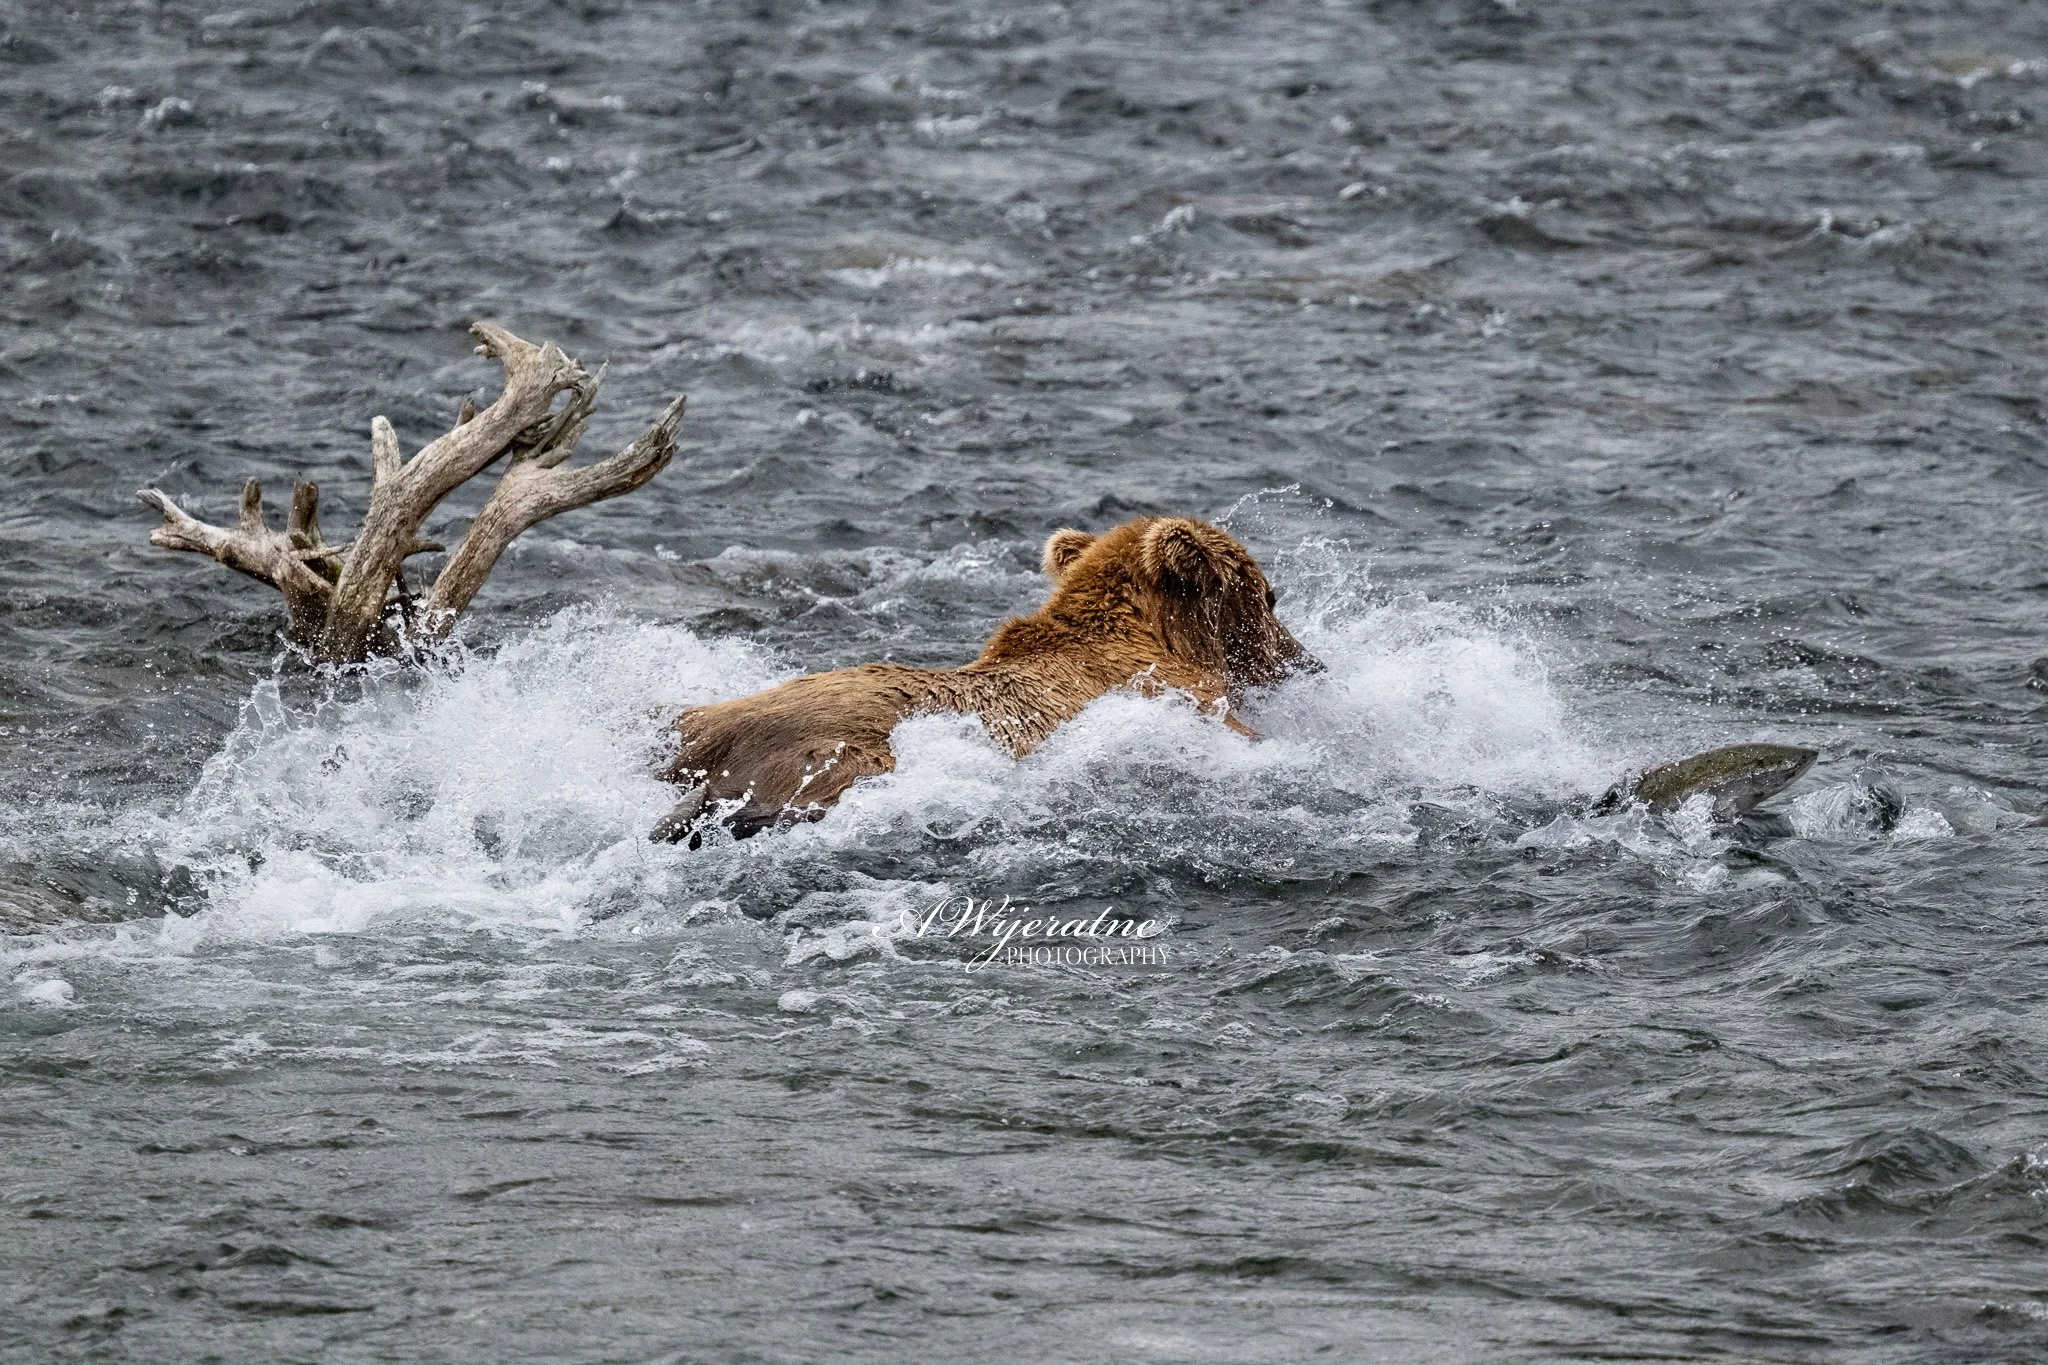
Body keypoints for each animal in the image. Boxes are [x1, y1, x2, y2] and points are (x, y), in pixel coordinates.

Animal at [651, 515, 1319, 844]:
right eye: (1269, 595)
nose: (1308, 662)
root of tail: (714, 754)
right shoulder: (1175, 702)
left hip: (703, 720)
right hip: (837, 757)